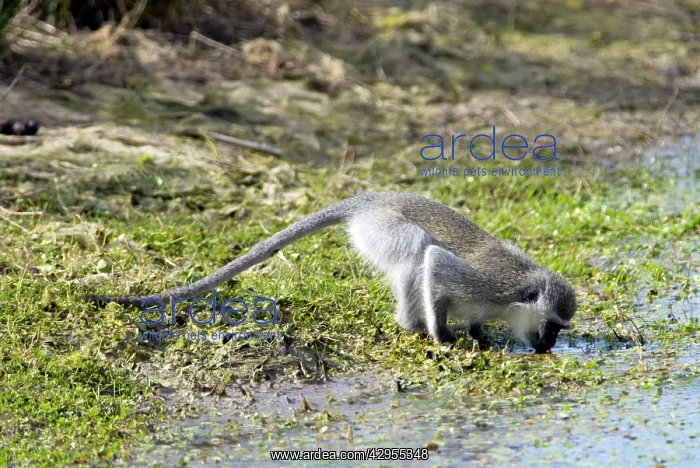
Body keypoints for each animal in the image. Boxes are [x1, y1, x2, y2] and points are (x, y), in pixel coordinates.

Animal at [86, 192, 577, 353]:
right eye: (553, 325)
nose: (549, 345)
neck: (516, 297)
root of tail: (372, 200)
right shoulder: (492, 285)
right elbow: (436, 261)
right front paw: (443, 337)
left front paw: (477, 335)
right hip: (382, 228)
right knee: (416, 250)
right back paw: (414, 325)